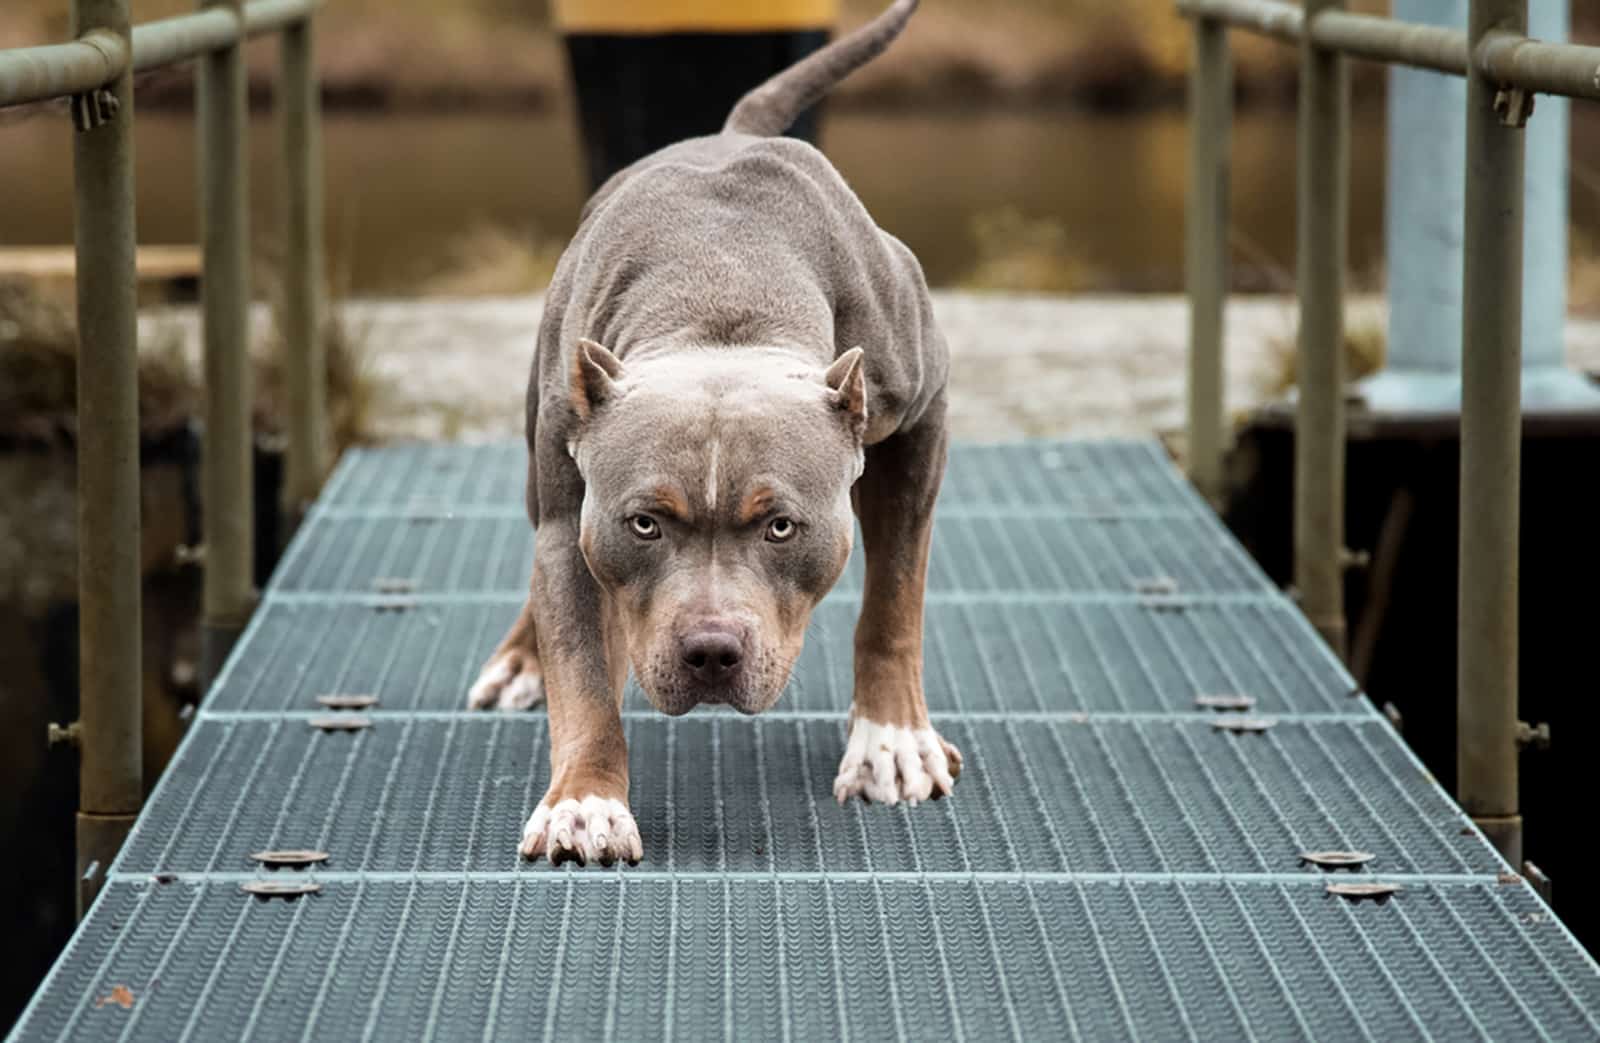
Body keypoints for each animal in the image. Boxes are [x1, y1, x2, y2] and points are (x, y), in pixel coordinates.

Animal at [467, 0, 960, 863]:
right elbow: (581, 666)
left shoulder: (920, 417)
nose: (710, 651)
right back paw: (526, 659)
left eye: (780, 526)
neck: (722, 290)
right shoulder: (573, 515)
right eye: (644, 523)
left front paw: (892, 739)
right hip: (541, 447)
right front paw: (585, 799)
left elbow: (895, 596)